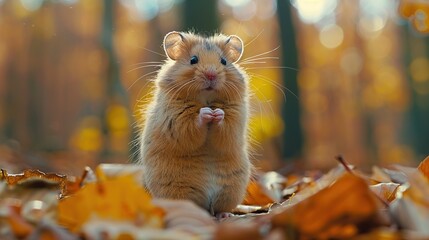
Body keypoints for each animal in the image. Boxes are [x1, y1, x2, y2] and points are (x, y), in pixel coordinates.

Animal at [137, 31, 251, 215]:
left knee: (219, 208)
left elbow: (225, 126)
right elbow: (191, 127)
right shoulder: (175, 120)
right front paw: (206, 113)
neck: (206, 98)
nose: (211, 75)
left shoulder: (236, 119)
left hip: (231, 189)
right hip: (178, 190)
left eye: (223, 61)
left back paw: (224, 215)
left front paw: (217, 113)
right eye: (193, 60)